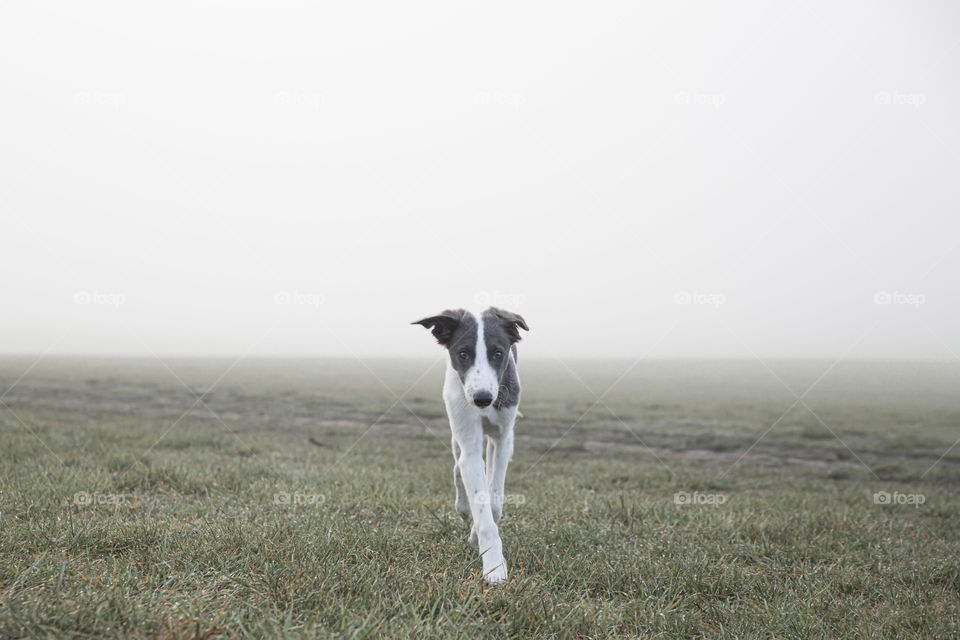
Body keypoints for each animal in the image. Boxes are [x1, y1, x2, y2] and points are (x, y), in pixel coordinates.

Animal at [412, 306, 528, 584]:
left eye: (498, 353)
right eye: (463, 354)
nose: (482, 398)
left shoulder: (502, 438)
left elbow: (493, 501)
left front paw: (477, 537)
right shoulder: (468, 438)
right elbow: (479, 496)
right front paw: (494, 566)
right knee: (457, 464)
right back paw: (463, 507)